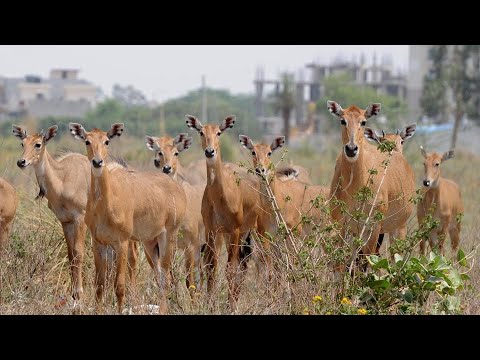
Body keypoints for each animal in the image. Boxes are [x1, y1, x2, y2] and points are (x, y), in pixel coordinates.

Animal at [68, 122, 187, 314]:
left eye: (107, 141)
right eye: (87, 140)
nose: (97, 162)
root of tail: (177, 188)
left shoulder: (122, 242)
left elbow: (119, 286)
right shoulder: (98, 243)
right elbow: (99, 286)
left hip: (168, 237)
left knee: (165, 279)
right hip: (150, 243)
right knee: (159, 275)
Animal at [143, 134, 205, 292]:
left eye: (176, 152)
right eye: (159, 151)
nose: (167, 168)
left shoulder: (190, 245)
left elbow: (189, 282)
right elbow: (166, 279)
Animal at [185, 114, 258, 308]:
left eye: (219, 132)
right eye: (201, 132)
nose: (210, 151)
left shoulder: (235, 230)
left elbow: (230, 269)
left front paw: (229, 306)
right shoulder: (212, 231)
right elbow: (211, 268)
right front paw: (209, 304)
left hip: (249, 233)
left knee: (242, 265)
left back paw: (233, 302)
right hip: (227, 236)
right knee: (240, 264)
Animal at [328, 100, 414, 272]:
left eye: (363, 121)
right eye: (342, 120)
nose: (351, 149)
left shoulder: (373, 227)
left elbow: (366, 262)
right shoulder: (341, 224)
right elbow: (341, 263)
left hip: (398, 228)